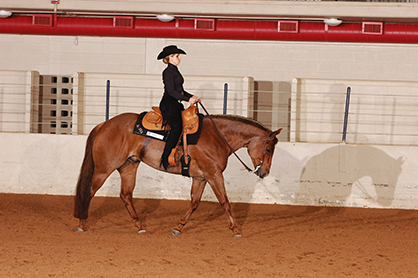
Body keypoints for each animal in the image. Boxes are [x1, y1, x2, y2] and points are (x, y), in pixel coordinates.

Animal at [73, 111, 282, 237]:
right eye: (268, 149)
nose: (264, 173)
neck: (217, 137)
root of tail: (104, 124)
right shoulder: (214, 175)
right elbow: (225, 202)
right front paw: (236, 229)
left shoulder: (201, 177)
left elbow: (195, 203)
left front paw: (178, 228)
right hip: (103, 169)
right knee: (89, 192)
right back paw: (82, 224)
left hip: (129, 166)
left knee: (126, 195)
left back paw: (140, 227)